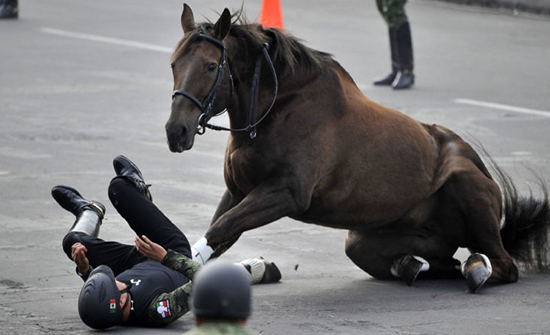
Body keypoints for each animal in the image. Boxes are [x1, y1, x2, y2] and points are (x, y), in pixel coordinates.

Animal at [166, 3, 548, 292]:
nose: (176, 131)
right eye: (173, 63)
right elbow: (219, 234)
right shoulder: (238, 192)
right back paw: (411, 264)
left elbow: (220, 229)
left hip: (466, 188)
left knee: (500, 265)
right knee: (446, 263)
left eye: (211, 66)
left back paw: (476, 269)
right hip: (363, 242)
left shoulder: (284, 194)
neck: (278, 109)